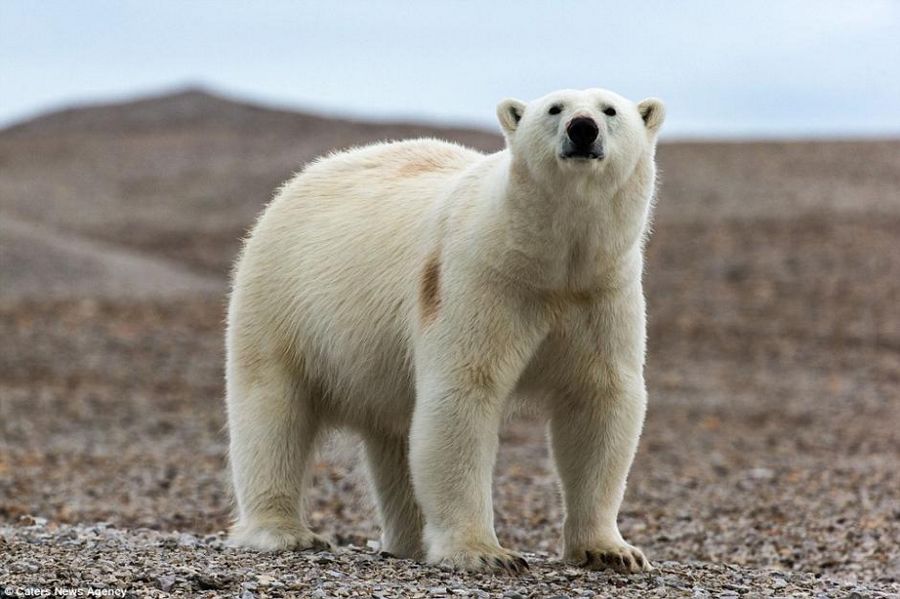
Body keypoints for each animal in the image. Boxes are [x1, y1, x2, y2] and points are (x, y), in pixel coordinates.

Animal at [225, 88, 660, 572]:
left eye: (610, 110)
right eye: (555, 108)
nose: (582, 129)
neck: (548, 262)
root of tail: (296, 182)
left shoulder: (601, 292)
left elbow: (599, 400)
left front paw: (612, 551)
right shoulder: (480, 278)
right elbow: (463, 395)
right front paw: (485, 553)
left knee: (394, 437)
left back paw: (407, 542)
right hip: (283, 301)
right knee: (272, 411)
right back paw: (285, 532)